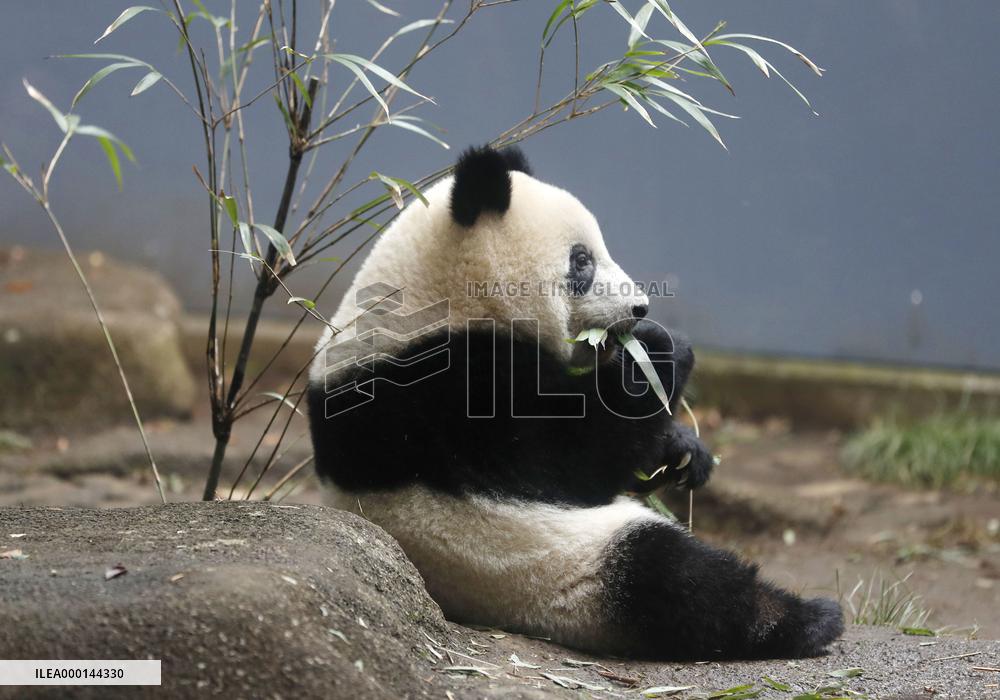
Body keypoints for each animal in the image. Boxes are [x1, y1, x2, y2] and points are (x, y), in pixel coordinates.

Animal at [307, 146, 843, 660]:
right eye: (581, 260)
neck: (435, 297)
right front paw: (657, 349)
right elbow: (573, 460)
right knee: (671, 577)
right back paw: (805, 619)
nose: (640, 307)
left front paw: (684, 451)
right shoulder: (447, 390)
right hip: (551, 565)